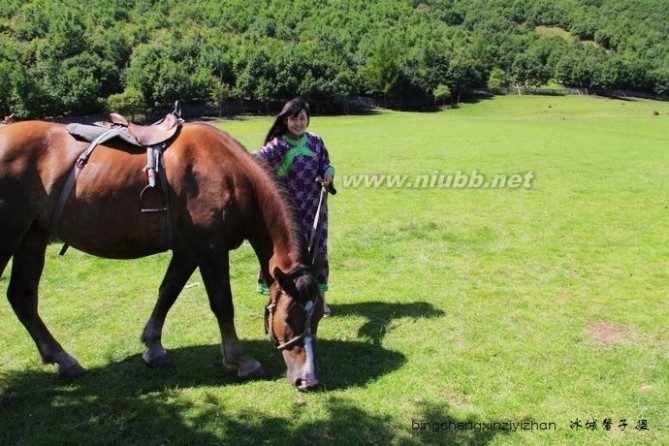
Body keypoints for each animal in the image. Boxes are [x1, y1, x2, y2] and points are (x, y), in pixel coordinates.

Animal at [0, 119, 324, 390]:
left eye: (318, 316)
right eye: (290, 318)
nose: (308, 380)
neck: (229, 174)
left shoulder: (188, 250)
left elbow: (168, 292)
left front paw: (153, 348)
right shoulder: (210, 249)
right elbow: (222, 304)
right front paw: (239, 360)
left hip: (32, 236)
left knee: (22, 297)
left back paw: (63, 360)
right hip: (11, 235)